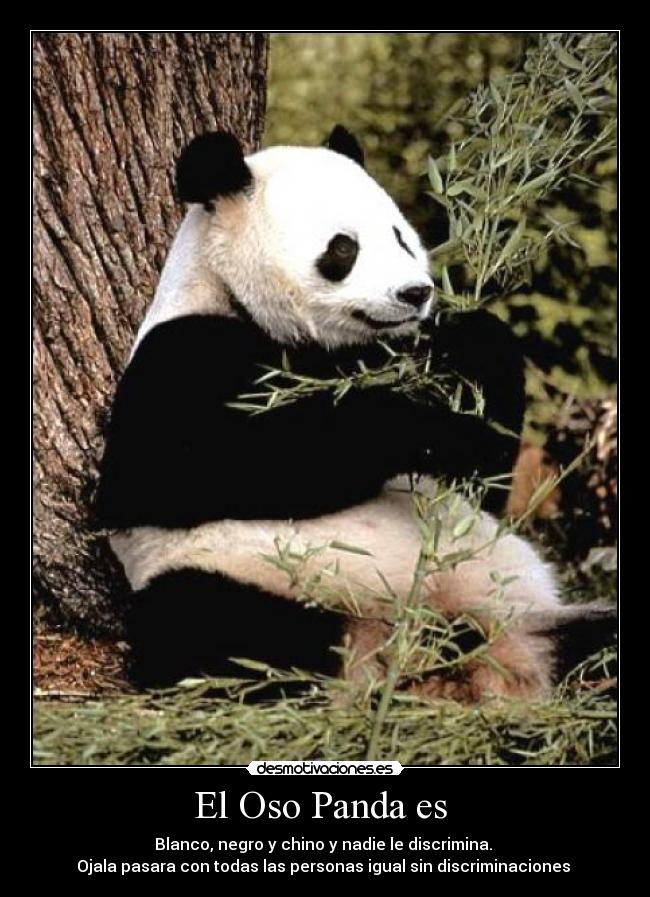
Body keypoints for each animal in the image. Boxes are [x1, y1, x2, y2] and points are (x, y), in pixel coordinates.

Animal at [95, 126, 614, 701]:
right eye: (344, 248)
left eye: (400, 237)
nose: (416, 293)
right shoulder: (178, 359)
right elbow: (190, 473)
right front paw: (416, 423)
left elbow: (482, 481)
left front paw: (470, 347)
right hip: (257, 582)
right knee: (213, 625)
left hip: (516, 602)